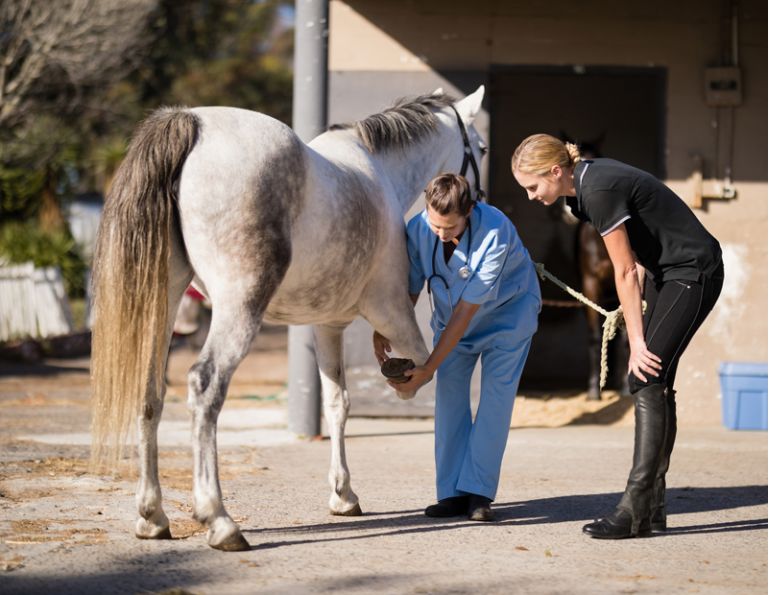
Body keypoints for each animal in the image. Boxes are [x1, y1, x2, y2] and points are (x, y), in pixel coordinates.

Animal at [90, 87, 487, 551]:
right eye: (480, 148)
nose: (480, 204)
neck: (380, 173)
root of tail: (191, 122)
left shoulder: (327, 325)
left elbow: (337, 403)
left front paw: (343, 495)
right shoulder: (392, 314)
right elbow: (429, 374)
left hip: (163, 303)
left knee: (150, 393)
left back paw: (152, 517)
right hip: (238, 308)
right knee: (205, 387)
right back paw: (219, 520)